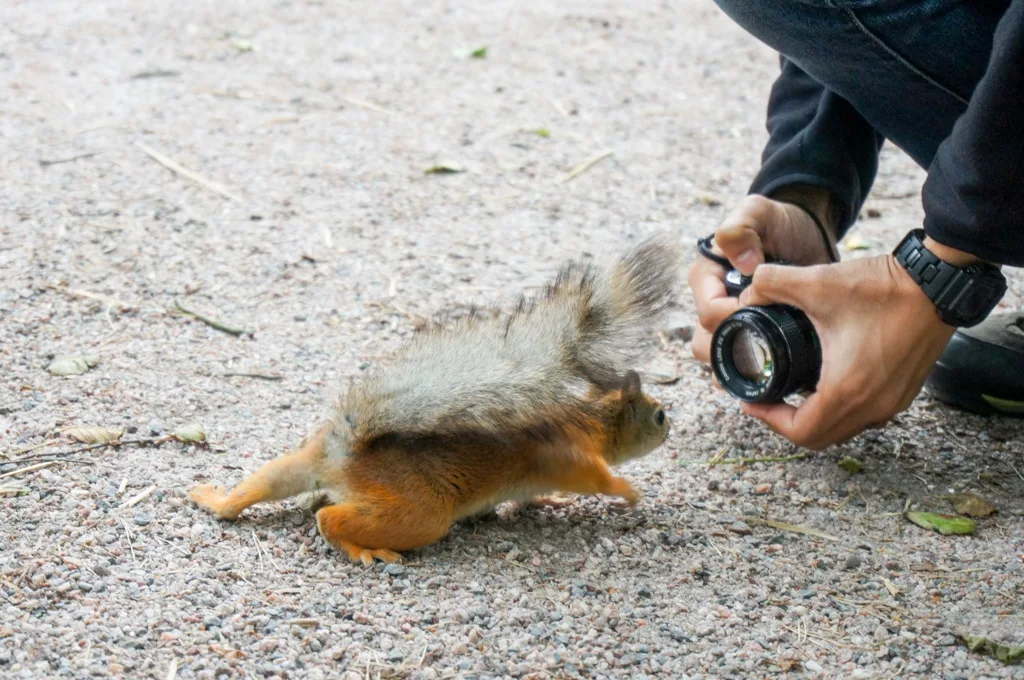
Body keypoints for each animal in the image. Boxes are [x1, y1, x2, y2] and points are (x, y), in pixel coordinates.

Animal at [188, 233, 684, 561]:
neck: (596, 421)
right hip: (422, 512)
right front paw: (628, 492)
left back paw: (216, 499)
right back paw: (364, 549)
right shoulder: (569, 454)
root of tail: (346, 455)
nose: (670, 429)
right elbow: (595, 477)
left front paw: (549, 502)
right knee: (332, 519)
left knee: (265, 482)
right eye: (659, 415)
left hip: (305, 462)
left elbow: (531, 498)